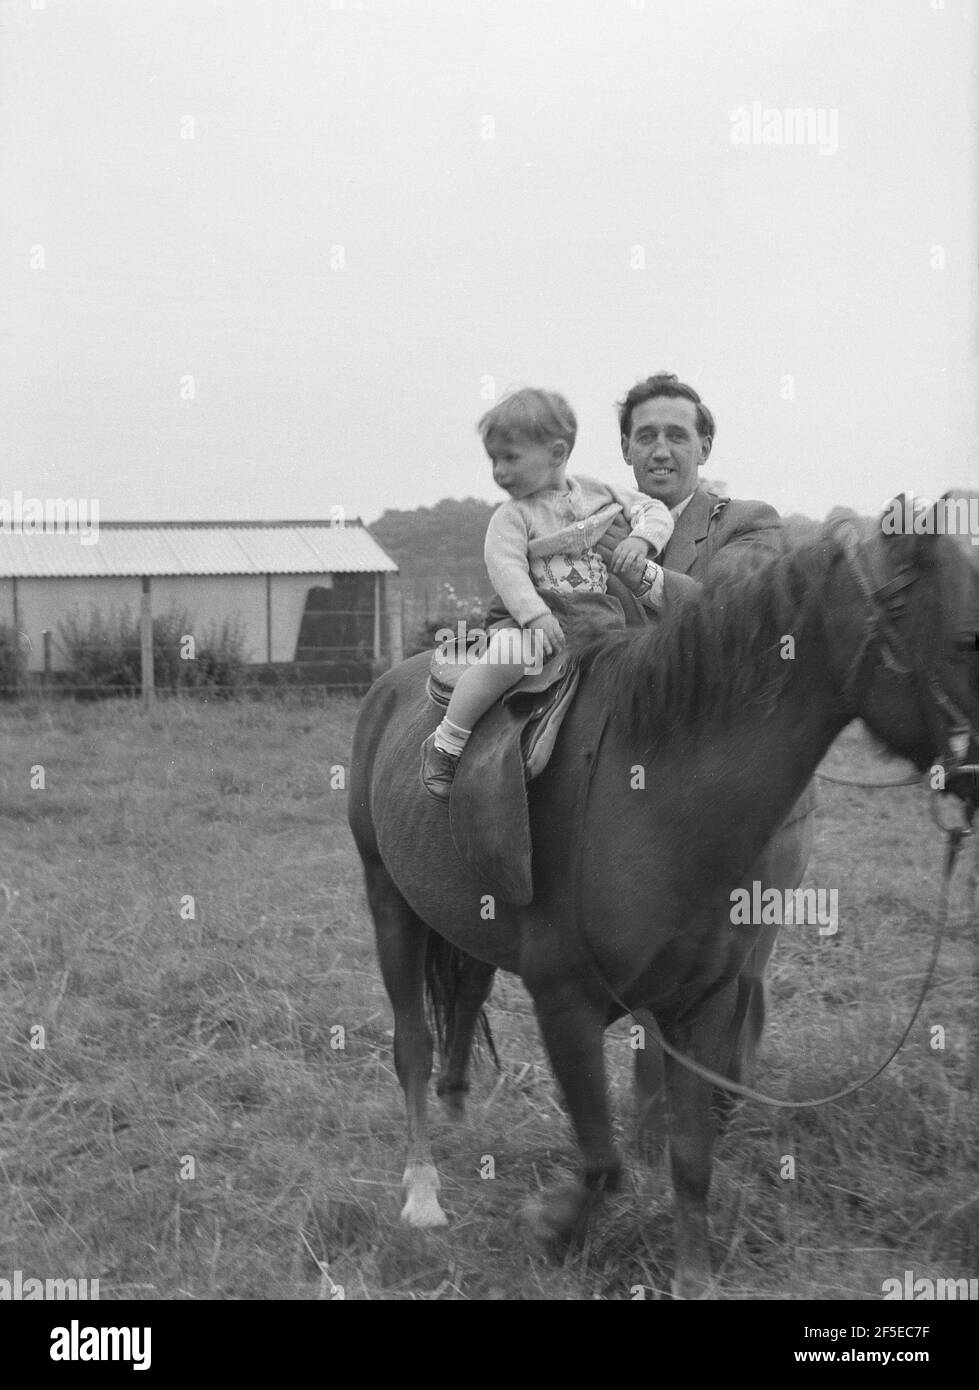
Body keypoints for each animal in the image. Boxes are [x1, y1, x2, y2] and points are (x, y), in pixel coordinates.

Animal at [344, 508, 979, 1289]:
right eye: (965, 639)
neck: (654, 791)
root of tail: (392, 684)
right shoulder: (565, 1003)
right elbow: (604, 1162)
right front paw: (552, 1226)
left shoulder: (702, 1005)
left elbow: (689, 1158)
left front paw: (692, 1276)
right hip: (388, 899)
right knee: (412, 1043)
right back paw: (422, 1189)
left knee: (462, 1000)